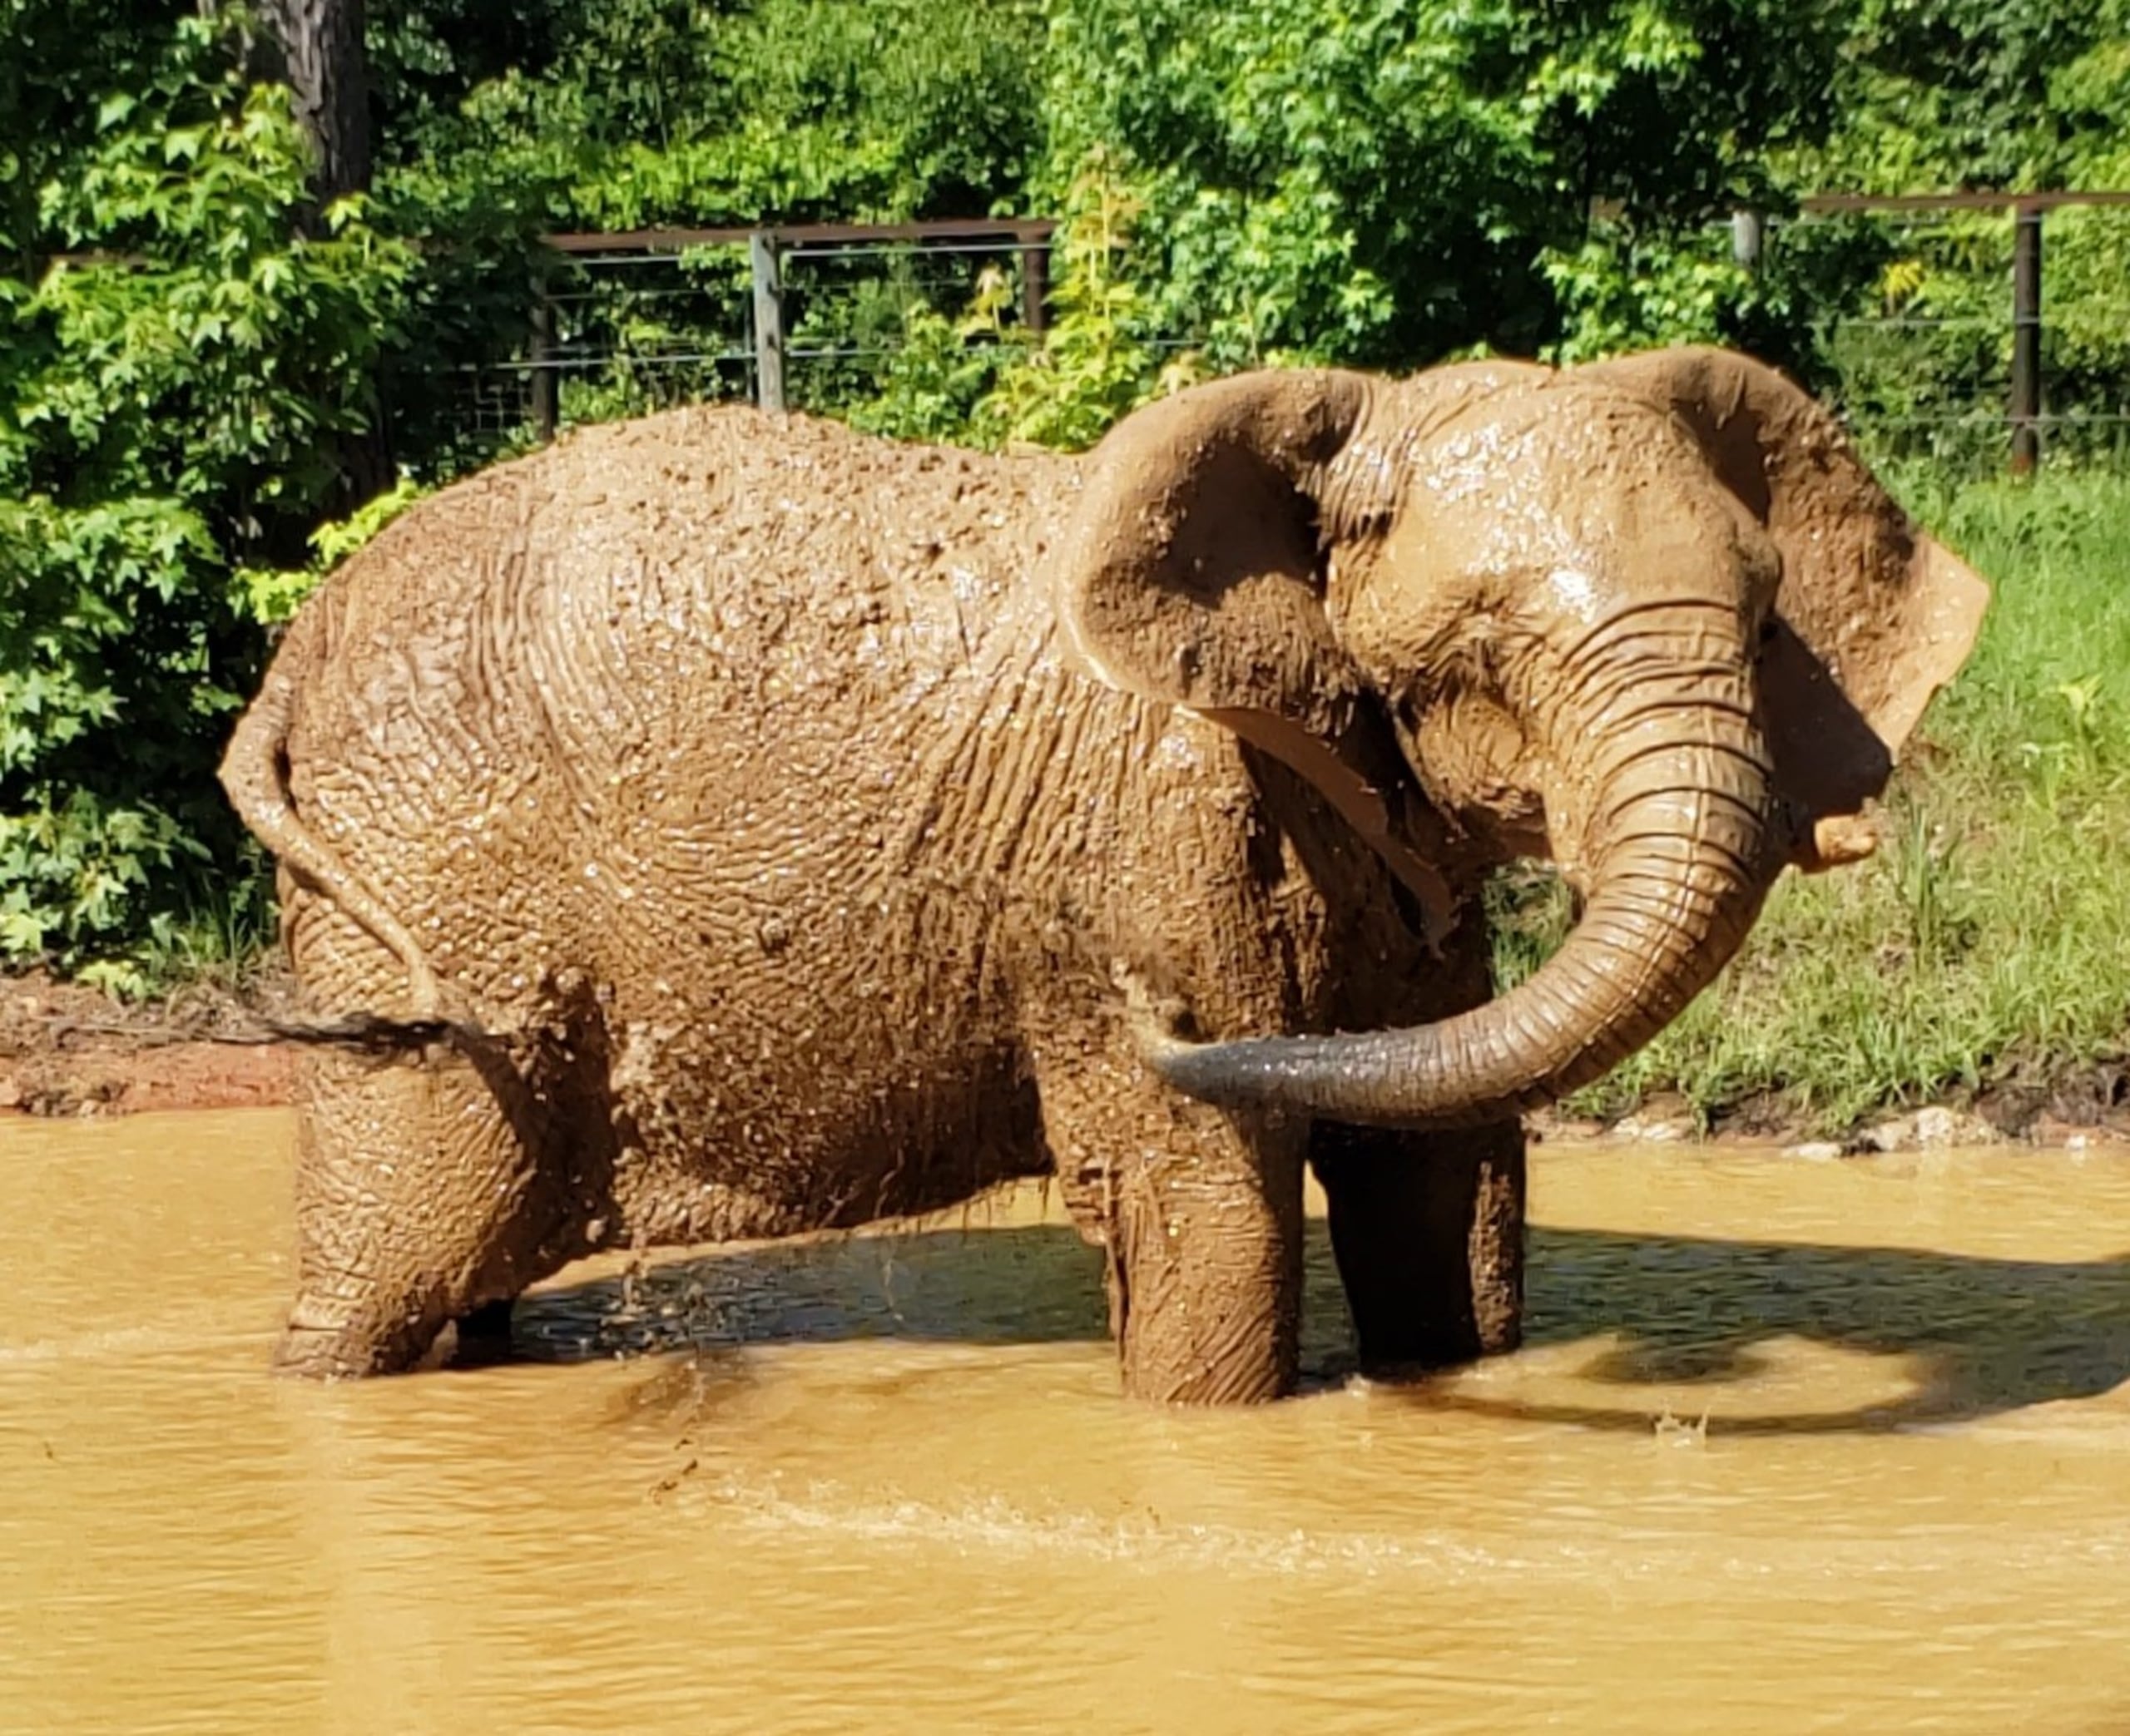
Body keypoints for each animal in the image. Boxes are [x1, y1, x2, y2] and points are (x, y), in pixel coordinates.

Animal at [220, 344, 1987, 1403]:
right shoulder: (1150, 847)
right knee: (391, 1263)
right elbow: (1205, 1201)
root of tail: (289, 665)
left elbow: (1442, 1187)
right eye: (1480, 646)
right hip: (434, 904)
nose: (1140, 1009)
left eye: (1766, 621)